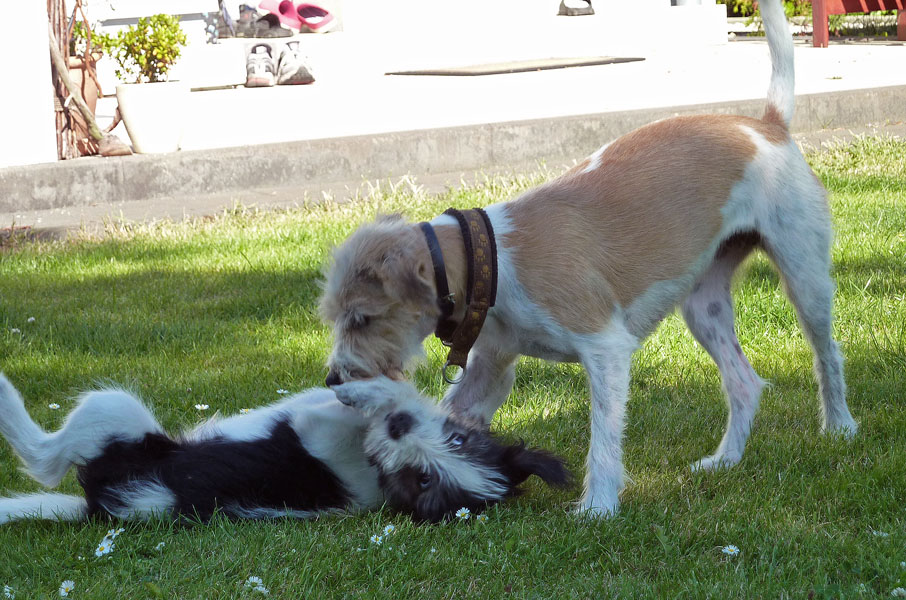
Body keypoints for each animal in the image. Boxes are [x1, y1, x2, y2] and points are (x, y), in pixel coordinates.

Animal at [0, 373, 568, 524]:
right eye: (458, 438)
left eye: (422, 480)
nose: (400, 427)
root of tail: (98, 506)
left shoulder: (320, 433)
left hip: (114, 414)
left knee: (43, 458)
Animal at [319, 0, 858, 518]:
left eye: (362, 318)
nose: (333, 378)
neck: (491, 259)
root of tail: (766, 125)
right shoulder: (490, 368)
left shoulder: (605, 349)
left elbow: (603, 439)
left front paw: (598, 506)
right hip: (703, 306)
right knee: (744, 384)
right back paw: (724, 460)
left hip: (804, 275)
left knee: (827, 354)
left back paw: (839, 426)